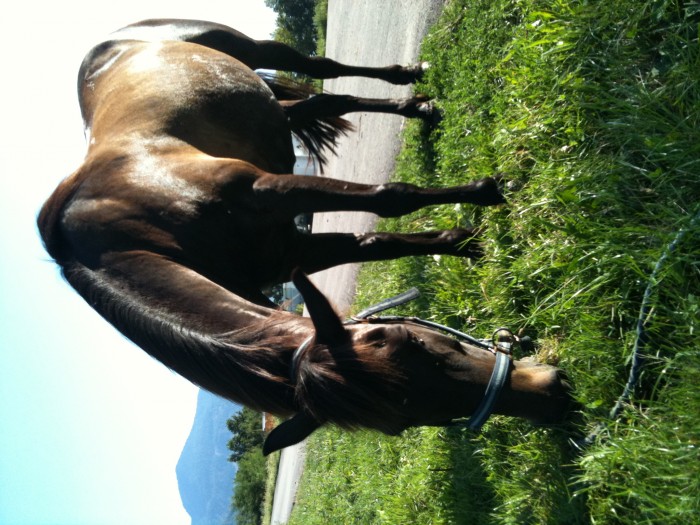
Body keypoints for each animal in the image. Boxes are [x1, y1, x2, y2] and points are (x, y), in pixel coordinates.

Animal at [38, 19, 572, 454]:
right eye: (407, 421)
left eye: (418, 341)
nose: (552, 394)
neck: (135, 224)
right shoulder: (292, 252)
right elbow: (380, 243)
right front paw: (466, 241)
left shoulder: (266, 190)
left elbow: (388, 198)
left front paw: (484, 193)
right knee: (321, 99)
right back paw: (416, 107)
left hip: (248, 48)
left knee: (320, 69)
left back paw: (407, 80)